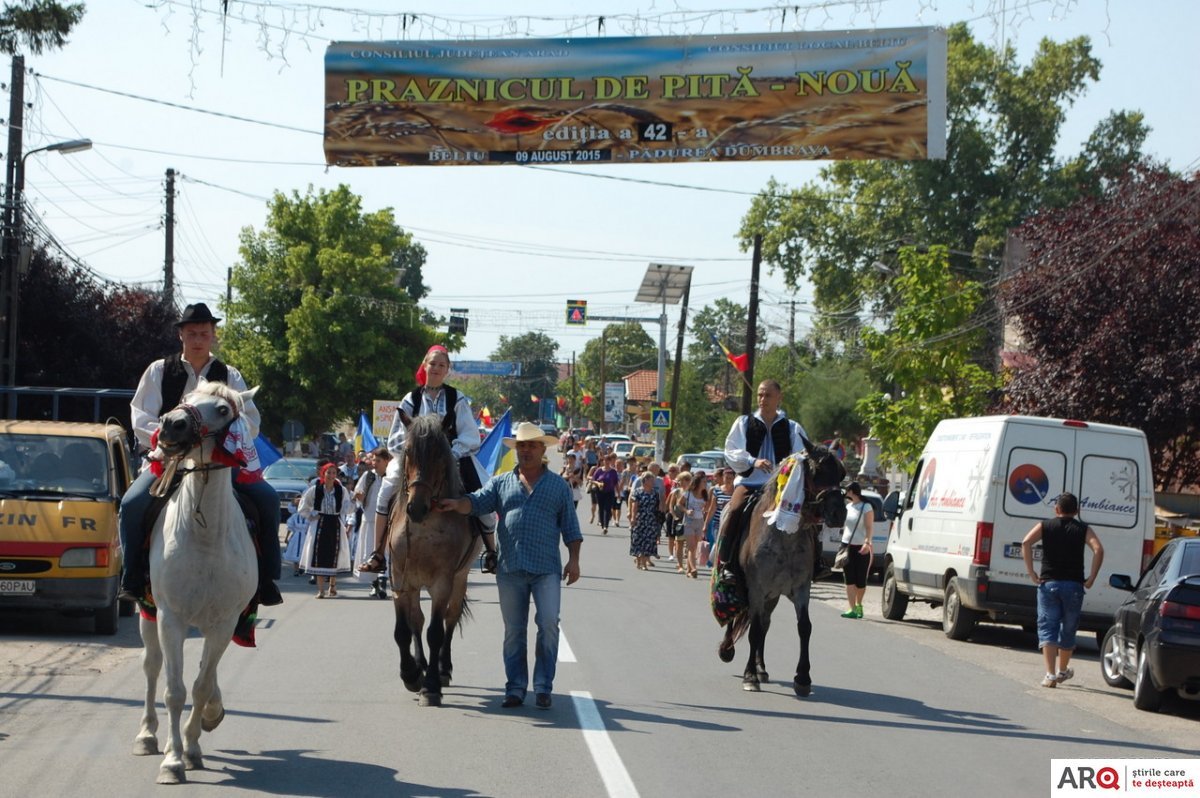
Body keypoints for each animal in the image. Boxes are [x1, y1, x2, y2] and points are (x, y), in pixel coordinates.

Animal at [132, 381, 256, 782]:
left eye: (223, 409)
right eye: (185, 398)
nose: (171, 424)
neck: (205, 538)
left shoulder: (224, 623)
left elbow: (201, 686)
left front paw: (193, 745)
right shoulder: (171, 618)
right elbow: (174, 689)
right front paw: (172, 760)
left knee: (205, 672)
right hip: (148, 614)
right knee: (152, 667)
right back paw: (147, 735)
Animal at [384, 412, 477, 705]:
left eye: (439, 454)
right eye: (409, 451)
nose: (416, 508)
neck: (424, 527)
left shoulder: (442, 583)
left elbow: (436, 632)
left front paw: (432, 686)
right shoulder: (400, 581)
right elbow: (402, 630)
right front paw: (411, 674)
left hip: (460, 579)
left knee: (450, 618)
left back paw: (442, 669)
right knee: (417, 620)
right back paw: (422, 665)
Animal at [720, 444, 844, 696]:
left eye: (840, 474)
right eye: (816, 472)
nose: (840, 513)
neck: (782, 535)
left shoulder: (801, 589)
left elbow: (804, 627)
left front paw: (803, 678)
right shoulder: (756, 589)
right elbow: (754, 630)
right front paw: (749, 676)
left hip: (772, 596)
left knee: (765, 625)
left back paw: (761, 669)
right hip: (746, 589)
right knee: (739, 616)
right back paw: (728, 650)